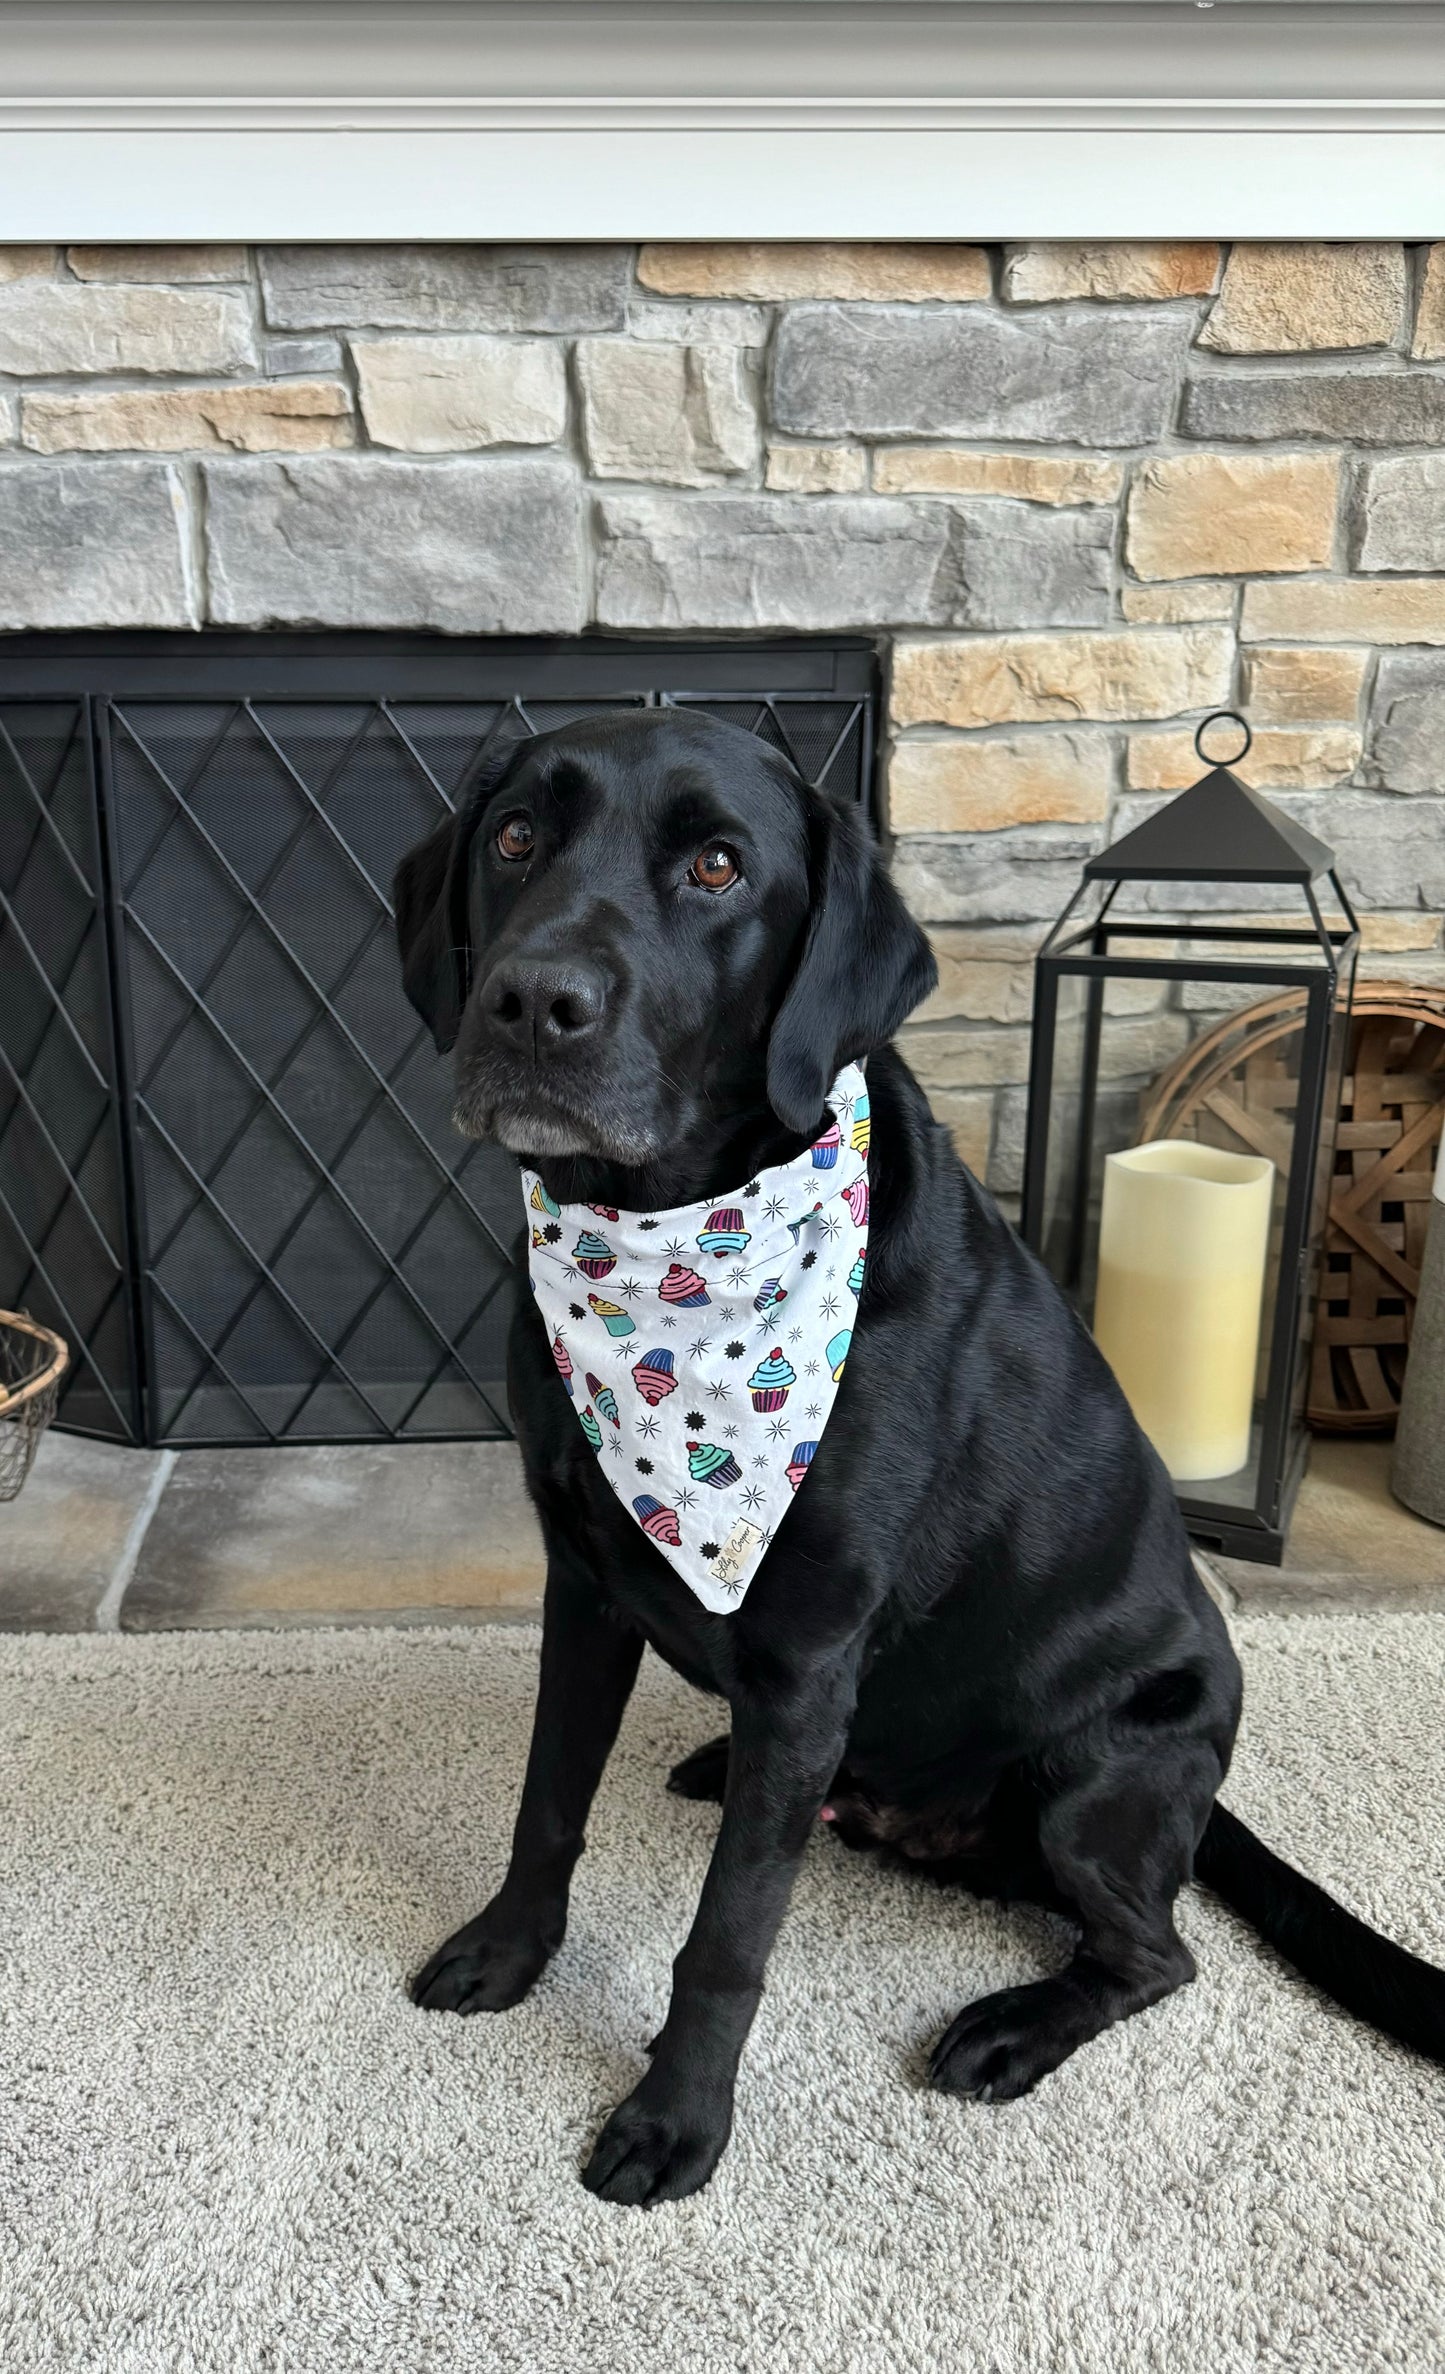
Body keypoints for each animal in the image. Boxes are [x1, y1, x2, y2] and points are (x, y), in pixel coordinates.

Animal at [393, 702, 1442, 2203]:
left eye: (717, 865)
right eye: (518, 837)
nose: (533, 1001)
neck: (672, 1242)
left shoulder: (808, 1648)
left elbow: (728, 1932)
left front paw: (675, 2117)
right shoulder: (583, 1588)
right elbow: (547, 1799)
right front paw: (507, 1950)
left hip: (1092, 1780)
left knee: (1157, 1951)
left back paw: (1012, 2026)